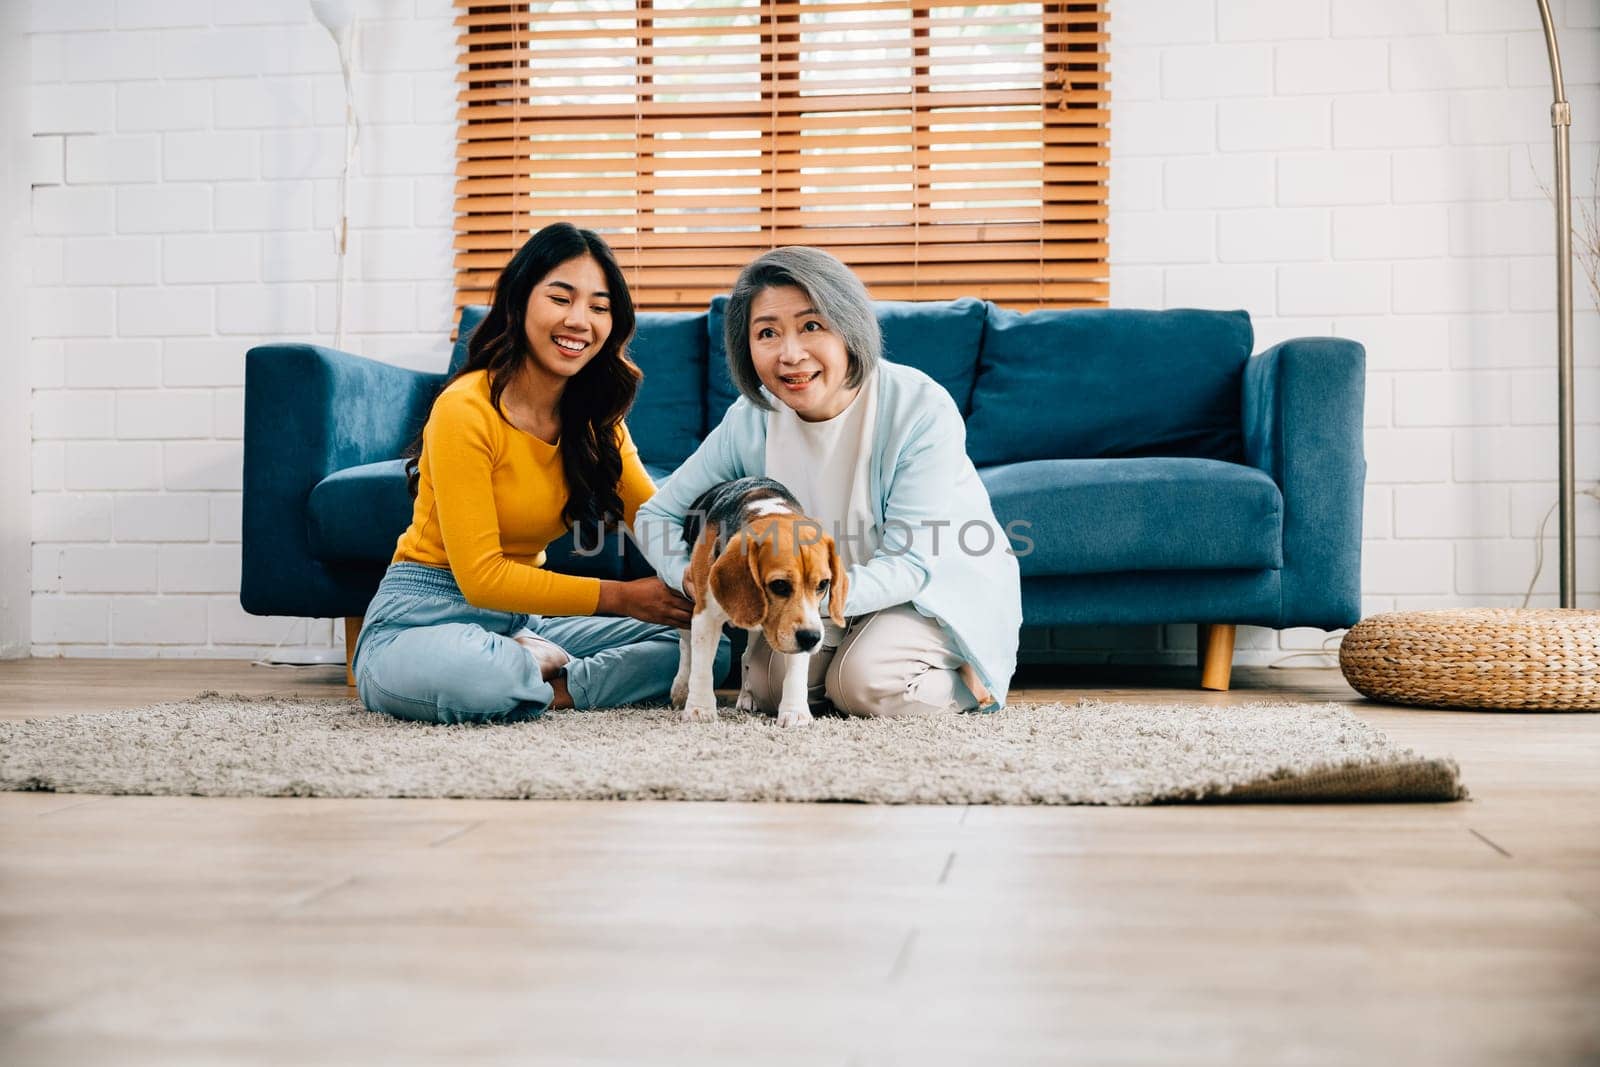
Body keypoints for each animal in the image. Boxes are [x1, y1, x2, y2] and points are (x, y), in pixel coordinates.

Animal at [668, 479, 851, 729]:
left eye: (823, 584)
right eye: (780, 585)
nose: (811, 638)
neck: (768, 509)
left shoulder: (800, 625)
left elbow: (796, 670)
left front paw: (795, 712)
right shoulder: (705, 615)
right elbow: (702, 666)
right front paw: (699, 709)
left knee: (745, 656)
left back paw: (747, 695)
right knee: (686, 647)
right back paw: (681, 689)